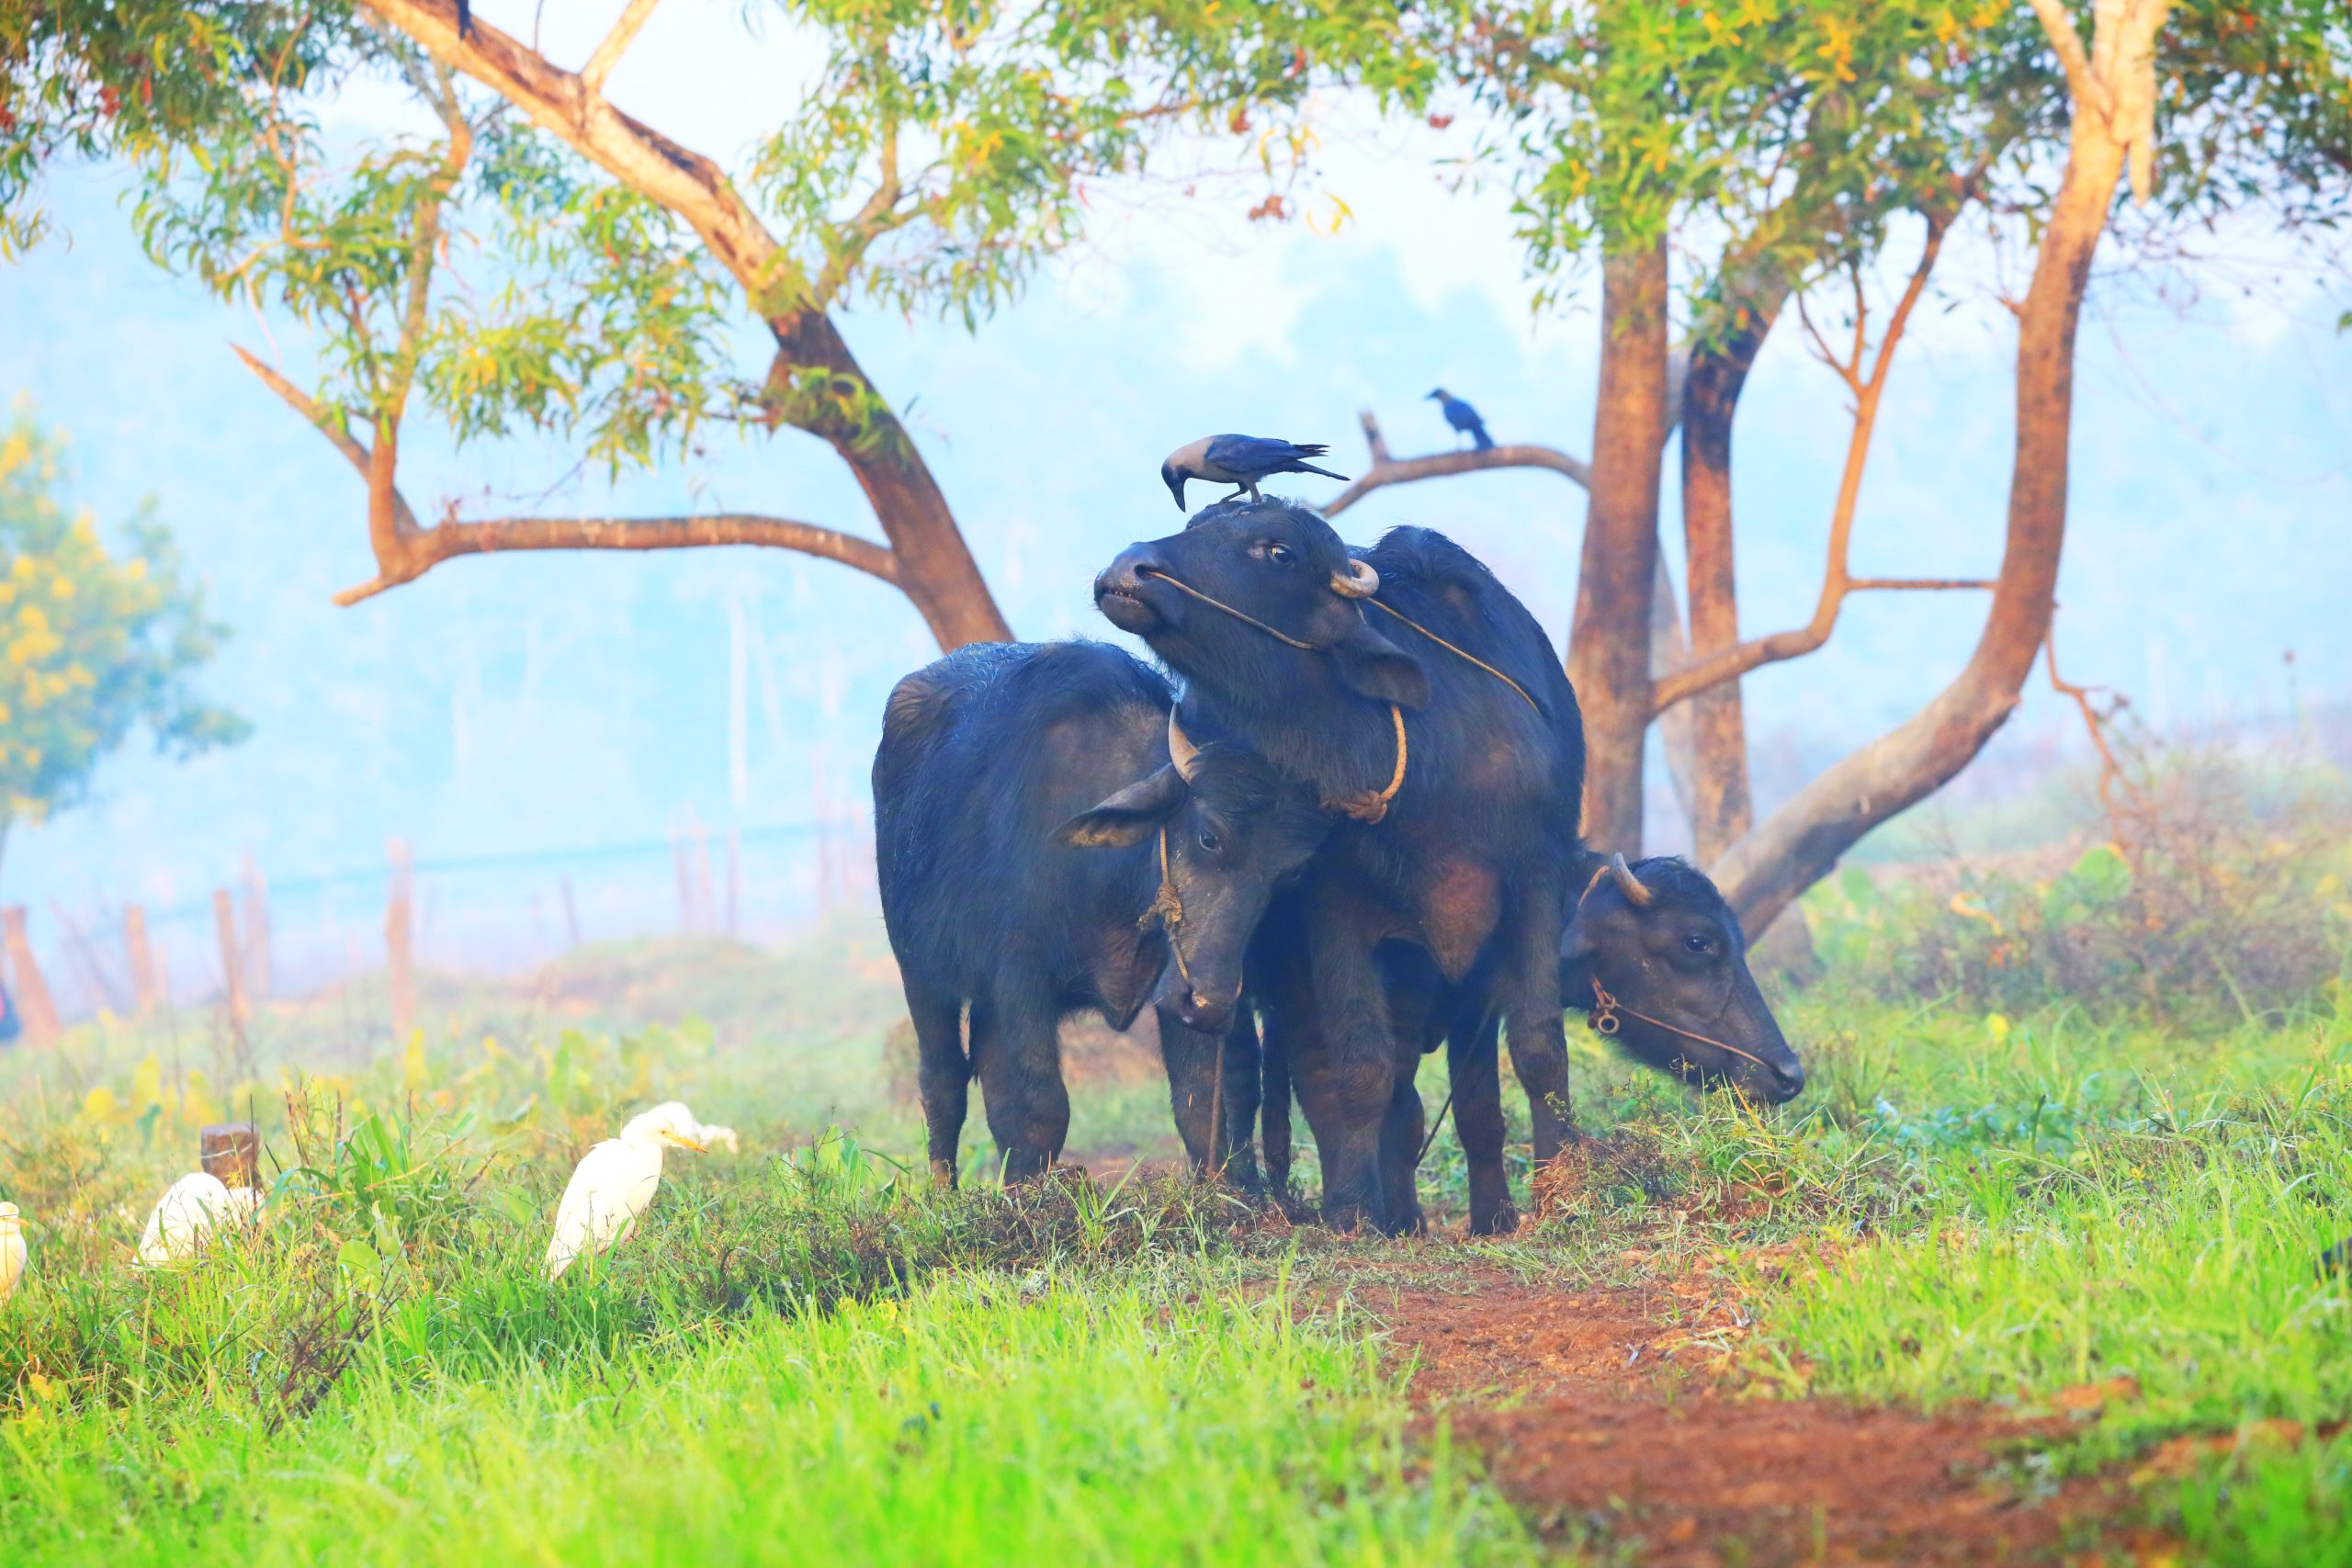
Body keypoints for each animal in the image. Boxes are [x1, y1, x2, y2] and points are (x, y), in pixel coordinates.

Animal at [879, 639, 1336, 1189]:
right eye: (1209, 837)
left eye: (1289, 873)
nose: (1209, 1004)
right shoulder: (1017, 977)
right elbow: (1039, 1106)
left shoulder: (1175, 981)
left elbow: (1201, 1100)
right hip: (918, 970)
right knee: (943, 1078)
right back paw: (944, 1190)